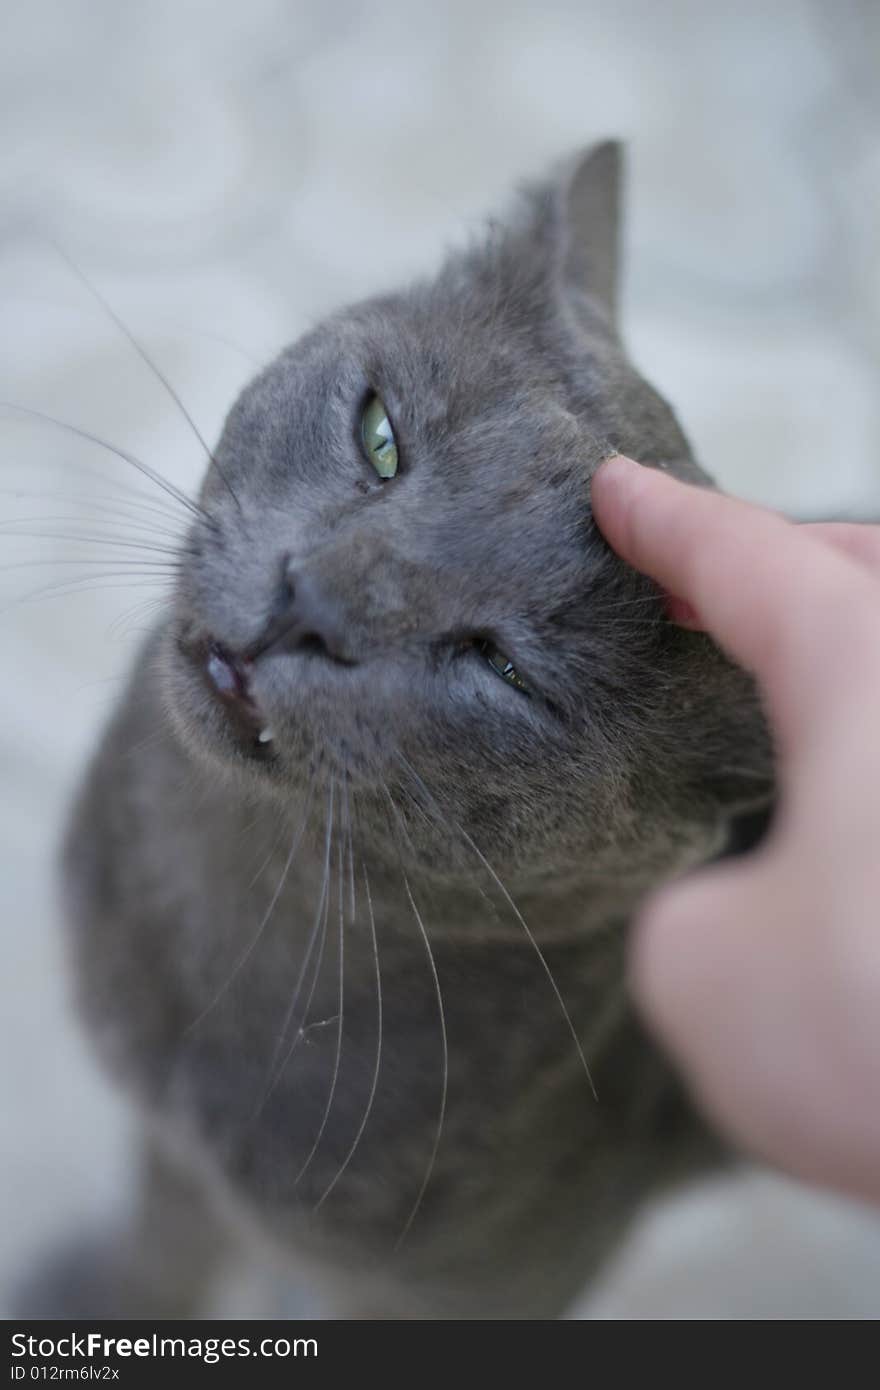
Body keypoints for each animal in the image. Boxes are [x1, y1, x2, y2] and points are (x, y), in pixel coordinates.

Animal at [25, 146, 767, 1317]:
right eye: (381, 436)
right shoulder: (171, 1155)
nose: (312, 599)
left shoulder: (487, 1294)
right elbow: (161, 1249)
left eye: (505, 672)